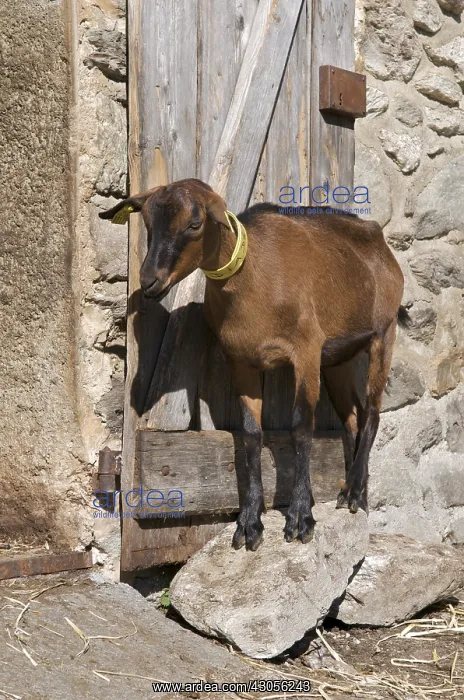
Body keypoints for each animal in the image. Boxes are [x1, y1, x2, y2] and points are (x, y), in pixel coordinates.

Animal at [100, 178, 405, 552]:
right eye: (147, 223)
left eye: (194, 224)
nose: (149, 281)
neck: (253, 278)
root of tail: (377, 238)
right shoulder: (242, 361)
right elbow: (250, 434)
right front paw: (249, 523)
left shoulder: (305, 350)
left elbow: (301, 426)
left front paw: (300, 518)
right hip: (338, 358)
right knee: (352, 418)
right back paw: (353, 491)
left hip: (383, 334)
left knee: (373, 412)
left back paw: (353, 494)